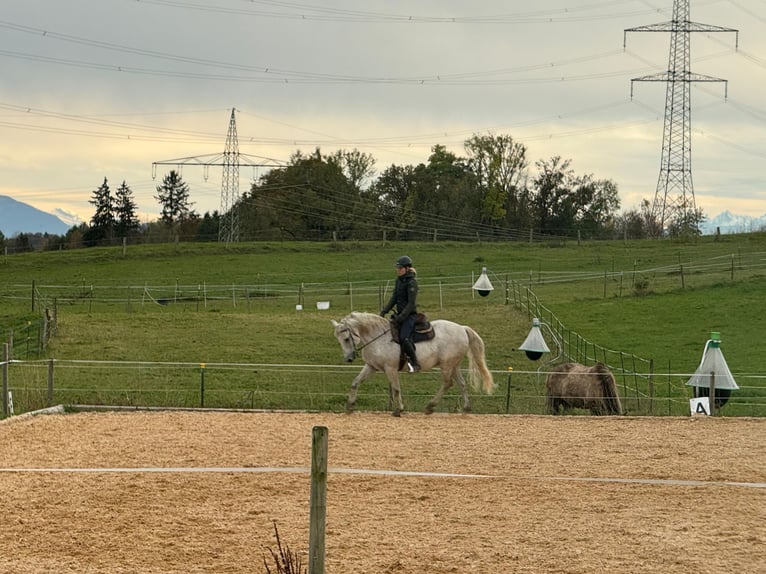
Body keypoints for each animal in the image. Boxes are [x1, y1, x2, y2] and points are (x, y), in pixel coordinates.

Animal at [332, 312, 496, 416]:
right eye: (338, 340)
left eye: (346, 338)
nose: (349, 358)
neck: (378, 338)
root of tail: (462, 328)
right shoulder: (371, 367)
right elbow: (355, 382)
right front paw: (349, 406)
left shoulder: (390, 369)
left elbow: (396, 389)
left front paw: (398, 410)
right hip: (453, 365)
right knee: (462, 384)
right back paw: (466, 408)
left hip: (446, 365)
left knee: (447, 383)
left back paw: (430, 406)